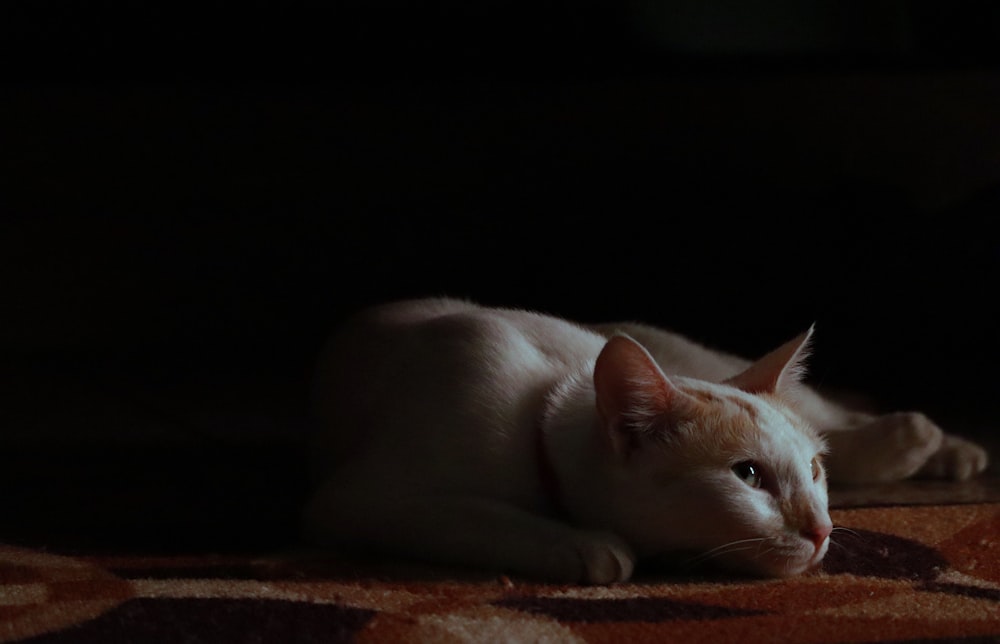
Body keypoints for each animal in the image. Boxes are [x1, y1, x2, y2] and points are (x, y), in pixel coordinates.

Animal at [300, 298, 988, 584]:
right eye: (748, 476)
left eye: (810, 472)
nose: (821, 530)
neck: (542, 406)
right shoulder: (358, 499)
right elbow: (476, 515)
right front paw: (583, 544)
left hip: (702, 355)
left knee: (834, 410)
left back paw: (937, 443)